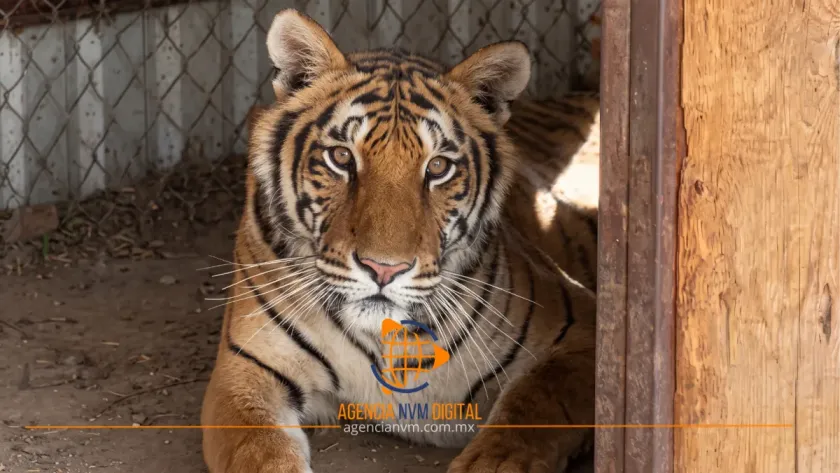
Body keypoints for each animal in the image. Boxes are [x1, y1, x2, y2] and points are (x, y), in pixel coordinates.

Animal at [201, 9, 599, 473]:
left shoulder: (581, 331)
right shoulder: (246, 368)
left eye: (438, 167)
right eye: (341, 157)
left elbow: (532, 405)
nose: (383, 269)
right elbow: (260, 452)